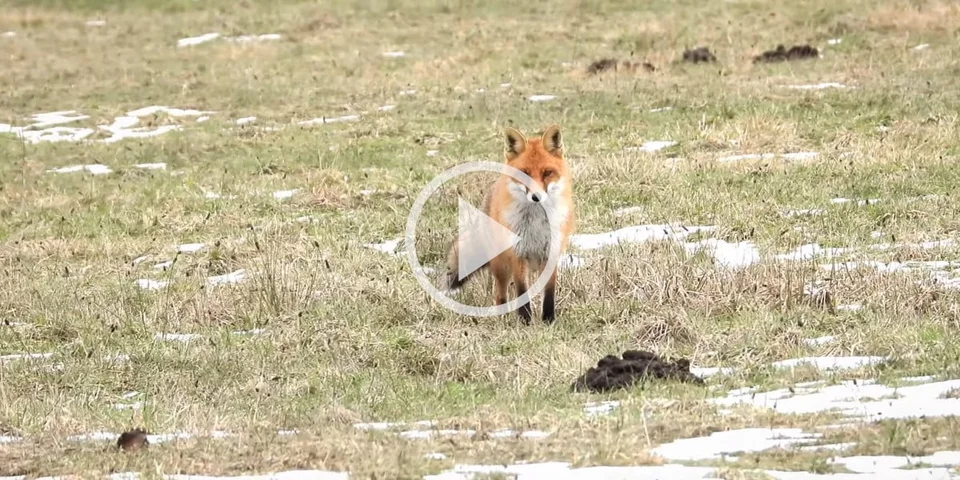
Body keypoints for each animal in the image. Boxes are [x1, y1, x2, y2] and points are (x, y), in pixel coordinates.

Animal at [445, 124, 575, 324]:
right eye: (525, 173)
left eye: (547, 173)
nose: (536, 197)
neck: (535, 224)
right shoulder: (517, 254)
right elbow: (521, 291)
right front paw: (525, 321)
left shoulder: (550, 253)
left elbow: (549, 292)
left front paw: (548, 319)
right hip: (501, 266)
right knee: (499, 294)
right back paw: (502, 317)